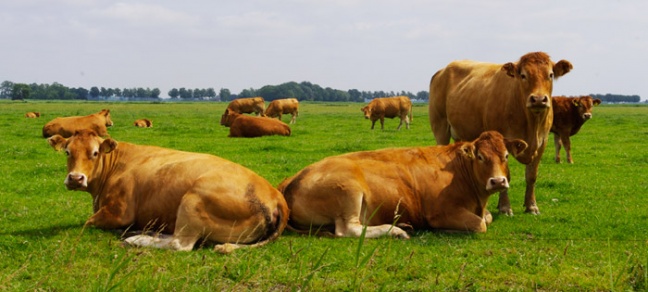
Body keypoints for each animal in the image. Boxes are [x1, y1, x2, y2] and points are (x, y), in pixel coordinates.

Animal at [46, 129, 288, 252]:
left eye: (95, 153)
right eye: (67, 152)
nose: (76, 178)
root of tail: (275, 194)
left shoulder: (118, 212)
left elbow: (87, 222)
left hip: (192, 201)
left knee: (180, 245)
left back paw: (137, 239)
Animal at [278, 130, 528, 237]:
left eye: (506, 156)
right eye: (480, 157)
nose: (498, 181)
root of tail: (292, 179)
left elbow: (488, 217)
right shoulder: (441, 211)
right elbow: (480, 224)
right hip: (348, 190)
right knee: (349, 229)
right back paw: (397, 230)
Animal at [430, 50, 572, 214]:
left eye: (550, 75)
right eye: (523, 75)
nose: (538, 99)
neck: (531, 123)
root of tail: (442, 71)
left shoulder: (542, 142)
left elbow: (531, 176)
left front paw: (531, 206)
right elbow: (505, 175)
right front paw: (505, 207)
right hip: (440, 128)